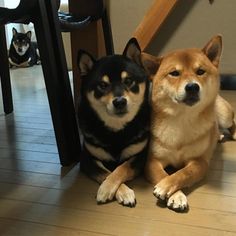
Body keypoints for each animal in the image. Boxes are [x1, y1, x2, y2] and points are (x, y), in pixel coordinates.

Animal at [77, 38, 149, 206]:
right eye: (103, 85)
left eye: (128, 81)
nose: (120, 101)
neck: (116, 130)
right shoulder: (88, 158)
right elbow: (106, 173)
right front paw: (110, 189)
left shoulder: (140, 155)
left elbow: (121, 168)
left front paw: (112, 189)